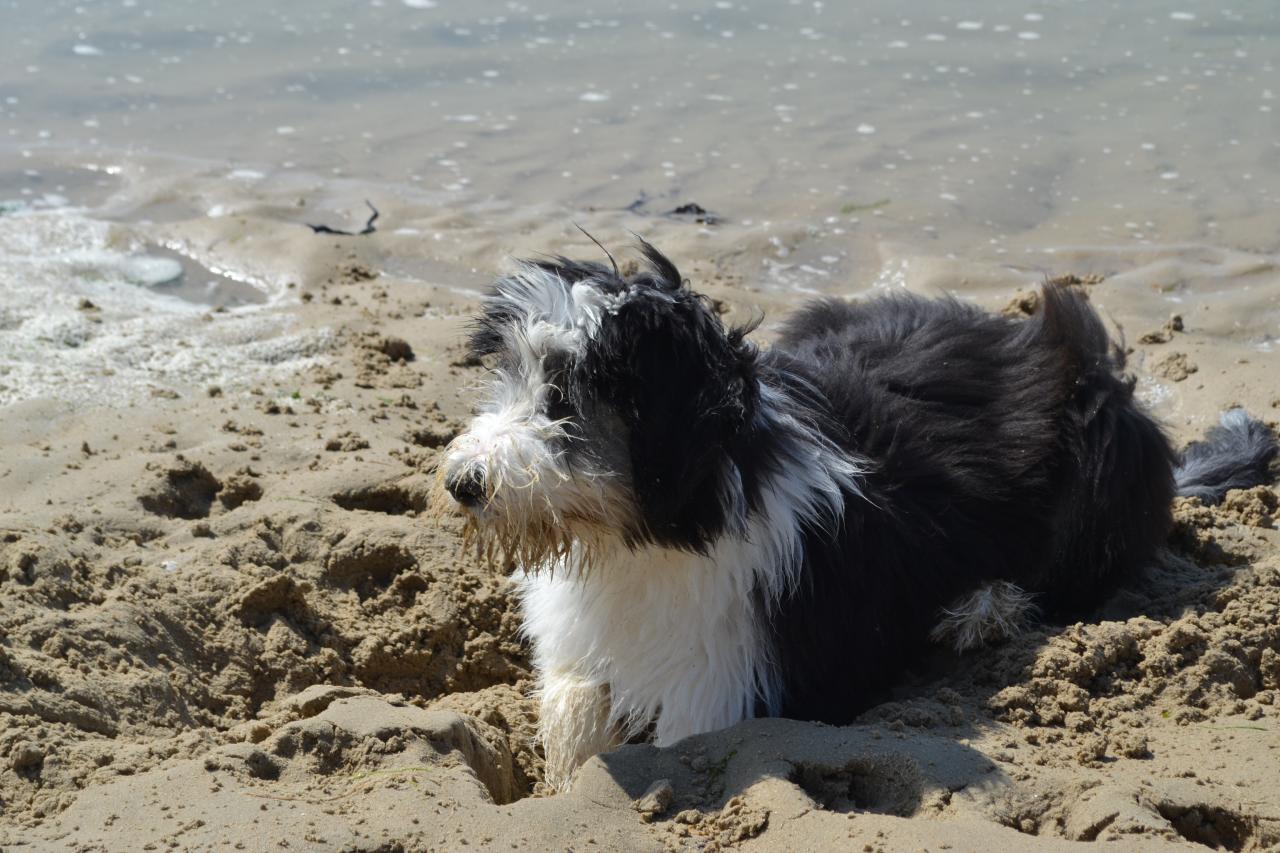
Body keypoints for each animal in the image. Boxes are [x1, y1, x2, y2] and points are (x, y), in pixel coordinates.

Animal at [437, 236, 1269, 783]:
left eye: (569, 393)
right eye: (513, 375)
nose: (462, 481)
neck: (652, 533)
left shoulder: (728, 681)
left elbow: (672, 734)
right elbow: (573, 701)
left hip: (1098, 464)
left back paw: (982, 607)